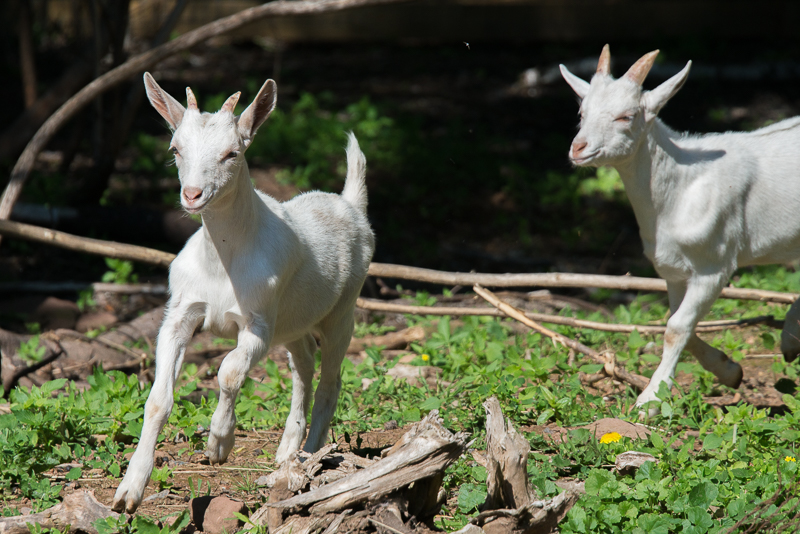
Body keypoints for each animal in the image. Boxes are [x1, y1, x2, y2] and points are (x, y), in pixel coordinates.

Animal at [112, 73, 376, 512]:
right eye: (175, 149)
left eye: (232, 152)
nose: (192, 195)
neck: (223, 263)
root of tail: (350, 205)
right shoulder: (180, 313)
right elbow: (158, 399)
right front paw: (129, 491)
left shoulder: (259, 323)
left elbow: (229, 371)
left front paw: (219, 444)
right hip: (293, 321)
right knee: (303, 363)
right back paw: (288, 449)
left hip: (343, 309)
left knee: (331, 378)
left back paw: (311, 454)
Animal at [560, 46, 800, 412]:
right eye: (581, 111)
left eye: (626, 116)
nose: (579, 148)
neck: (683, 187)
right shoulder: (673, 270)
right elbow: (679, 324)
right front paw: (729, 371)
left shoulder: (714, 266)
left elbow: (676, 327)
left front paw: (649, 400)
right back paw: (790, 339)